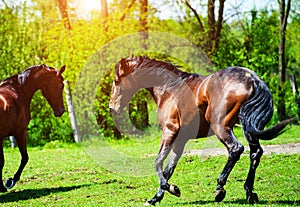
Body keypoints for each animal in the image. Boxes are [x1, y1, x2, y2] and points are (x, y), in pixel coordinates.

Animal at [0, 64, 65, 192]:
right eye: (62, 85)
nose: (61, 111)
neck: (18, 89)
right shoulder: (20, 132)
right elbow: (24, 158)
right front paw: (10, 181)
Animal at [109, 56, 294, 205]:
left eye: (117, 80)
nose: (112, 108)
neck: (169, 88)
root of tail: (252, 79)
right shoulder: (180, 140)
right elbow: (168, 168)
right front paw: (157, 197)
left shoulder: (169, 131)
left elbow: (158, 162)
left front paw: (170, 189)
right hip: (248, 127)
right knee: (255, 153)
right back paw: (249, 193)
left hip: (221, 127)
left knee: (236, 149)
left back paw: (220, 188)